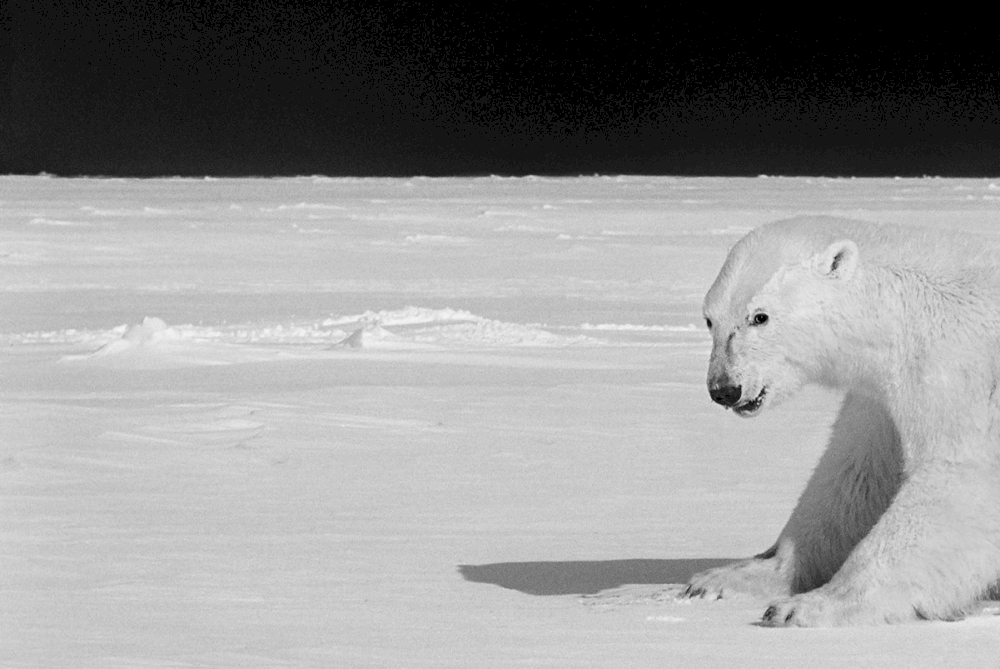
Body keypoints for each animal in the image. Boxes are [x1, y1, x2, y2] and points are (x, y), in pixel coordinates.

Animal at [684, 215, 1000, 628]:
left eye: (760, 316)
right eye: (710, 320)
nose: (724, 389)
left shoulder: (961, 372)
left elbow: (961, 480)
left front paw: (809, 606)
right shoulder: (880, 399)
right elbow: (855, 476)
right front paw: (727, 579)